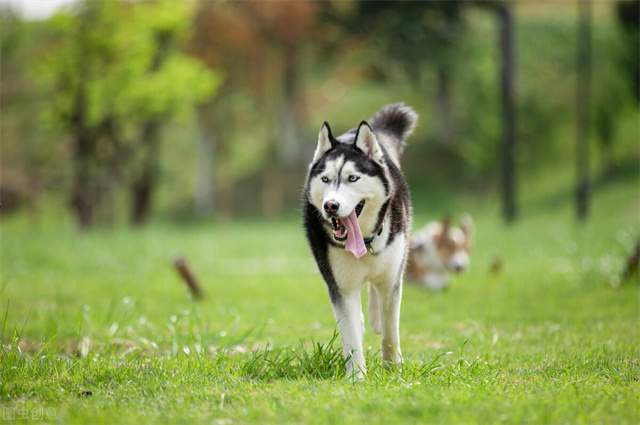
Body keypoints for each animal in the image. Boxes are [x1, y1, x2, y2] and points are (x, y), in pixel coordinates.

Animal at [302, 102, 418, 378]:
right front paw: (357, 377)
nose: (331, 206)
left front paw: (393, 369)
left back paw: (375, 319)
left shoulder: (392, 280)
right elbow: (351, 334)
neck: (365, 243)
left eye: (353, 178)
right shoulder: (341, 288)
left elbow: (390, 332)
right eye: (325, 179)